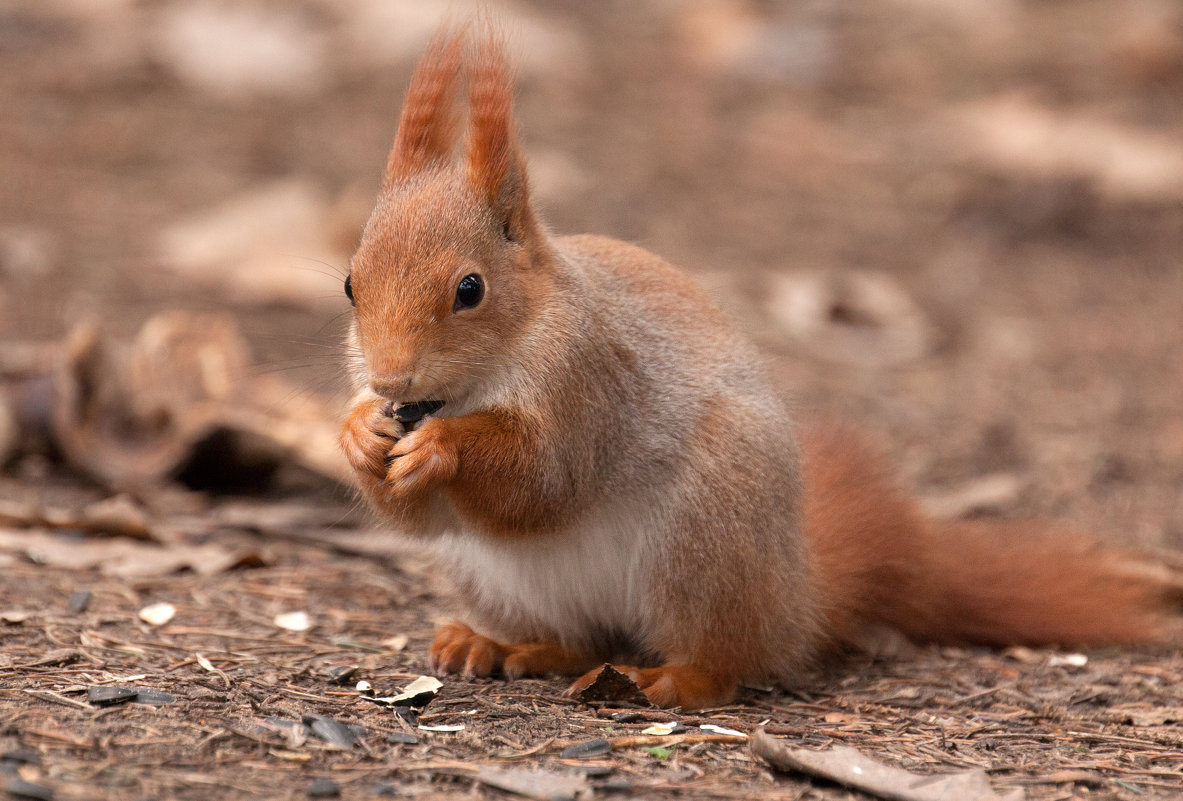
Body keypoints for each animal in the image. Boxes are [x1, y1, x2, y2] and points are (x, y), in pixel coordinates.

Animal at [338, 28, 1178, 709]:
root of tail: (796, 594)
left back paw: (676, 679)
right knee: (583, 641)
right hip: (501, 577)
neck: (489, 368)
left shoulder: (591, 380)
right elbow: (422, 515)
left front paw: (441, 446)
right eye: (350, 282)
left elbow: (545, 478)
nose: (389, 381)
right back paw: (496, 643)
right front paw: (355, 433)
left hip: (710, 533)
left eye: (469, 289)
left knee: (722, 657)